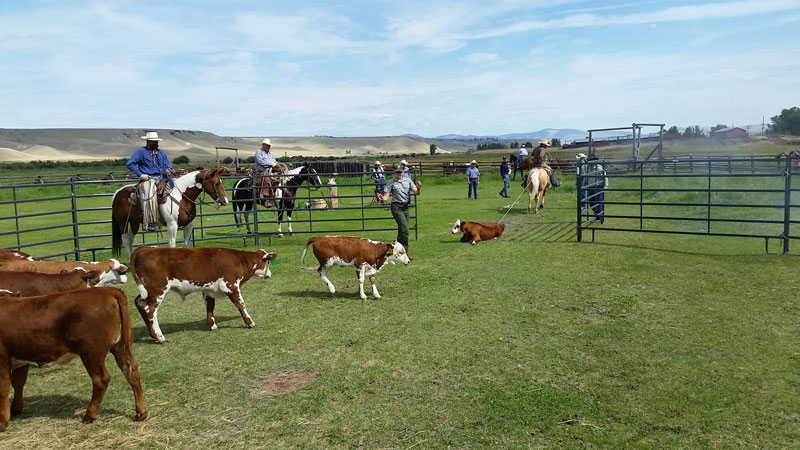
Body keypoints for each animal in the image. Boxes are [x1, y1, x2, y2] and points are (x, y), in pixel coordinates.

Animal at [0, 286, 147, 430]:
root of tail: (107, 290)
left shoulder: (3, 359)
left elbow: (4, 388)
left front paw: (2, 422)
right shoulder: (20, 357)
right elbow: (18, 382)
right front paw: (16, 409)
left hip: (91, 352)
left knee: (101, 379)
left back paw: (89, 415)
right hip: (120, 346)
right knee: (130, 369)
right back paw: (141, 412)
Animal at [130, 244, 278, 342]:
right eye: (268, 263)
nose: (270, 274)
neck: (239, 260)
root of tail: (145, 249)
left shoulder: (209, 290)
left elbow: (210, 306)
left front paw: (212, 325)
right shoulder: (230, 285)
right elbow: (240, 304)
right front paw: (250, 322)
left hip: (146, 291)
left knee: (139, 302)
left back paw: (152, 334)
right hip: (157, 290)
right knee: (149, 309)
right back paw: (159, 336)